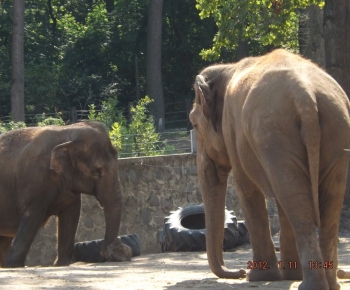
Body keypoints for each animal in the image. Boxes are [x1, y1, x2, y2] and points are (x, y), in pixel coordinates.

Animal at [0, 120, 131, 268]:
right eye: (96, 171)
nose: (108, 252)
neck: (66, 132)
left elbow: (71, 216)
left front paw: (61, 264)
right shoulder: (34, 180)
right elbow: (32, 217)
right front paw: (12, 265)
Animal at [190, 48, 350, 288]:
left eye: (194, 124)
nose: (238, 271)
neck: (228, 68)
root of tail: (306, 98)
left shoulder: (232, 129)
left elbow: (247, 189)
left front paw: (259, 276)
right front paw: (289, 274)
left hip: (273, 133)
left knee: (296, 203)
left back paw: (311, 285)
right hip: (335, 129)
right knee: (323, 198)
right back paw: (329, 284)